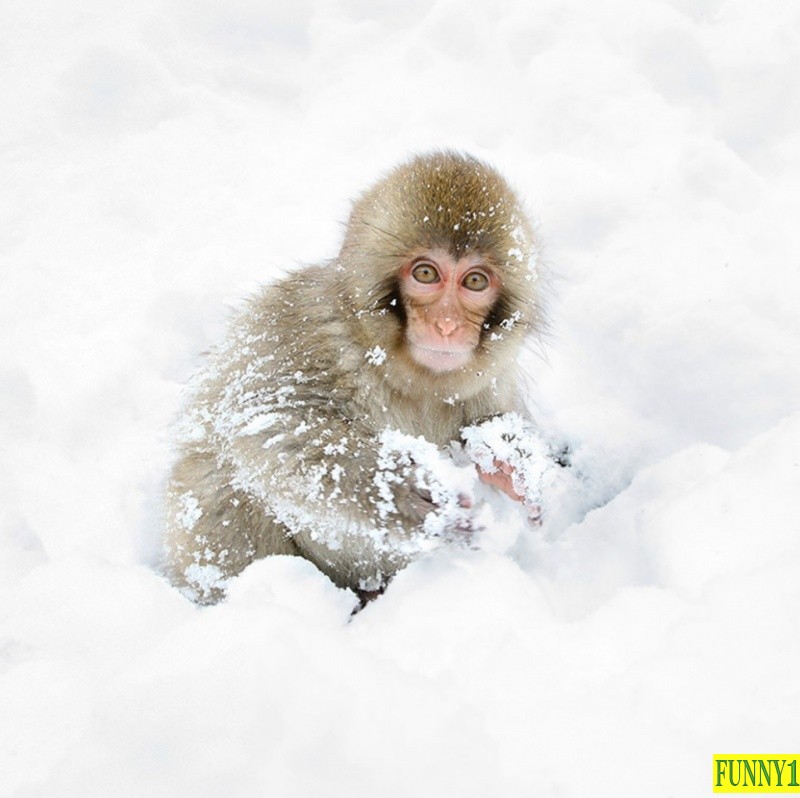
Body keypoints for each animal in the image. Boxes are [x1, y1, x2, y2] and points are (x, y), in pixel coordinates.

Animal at [162, 150, 552, 608]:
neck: (407, 374)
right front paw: (400, 491)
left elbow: (488, 420)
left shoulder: (491, 377)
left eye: (475, 280)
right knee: (221, 480)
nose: (447, 326)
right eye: (425, 274)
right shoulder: (305, 325)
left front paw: (510, 464)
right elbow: (270, 420)